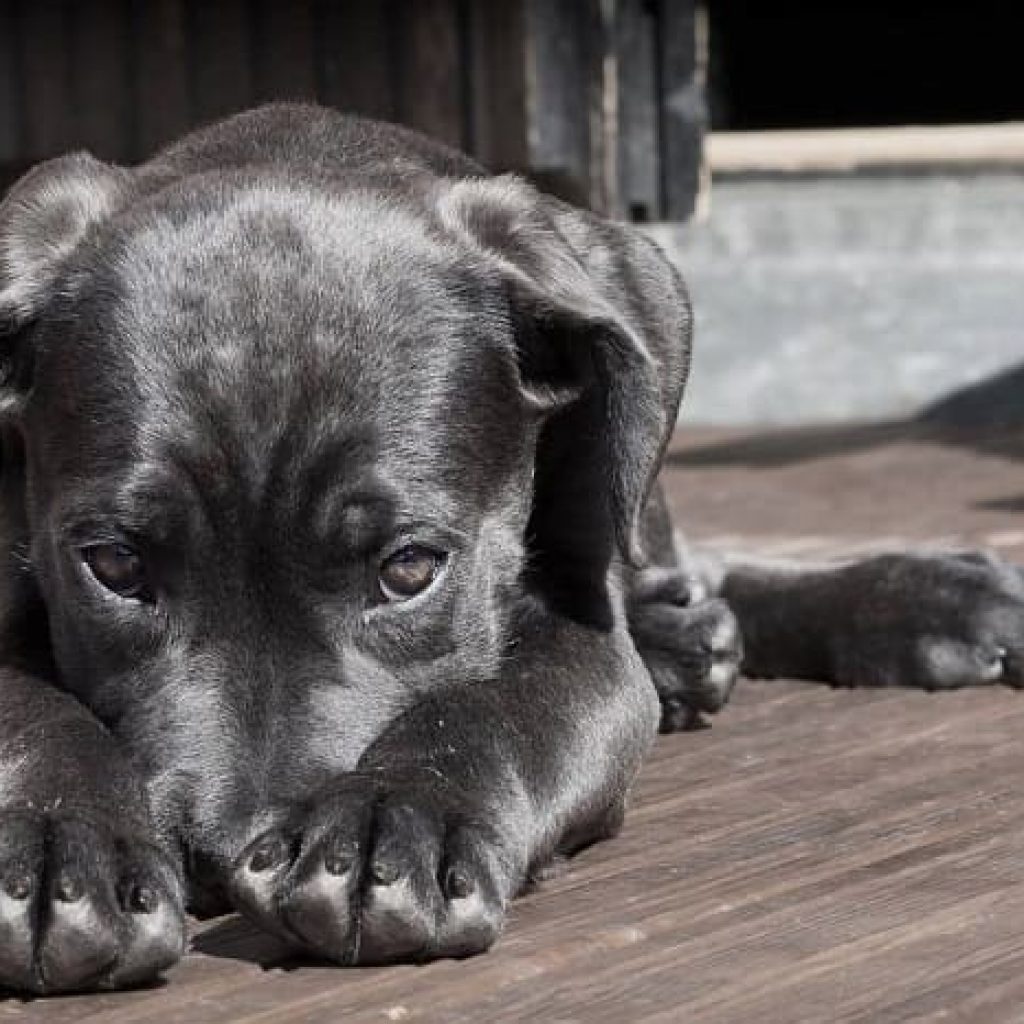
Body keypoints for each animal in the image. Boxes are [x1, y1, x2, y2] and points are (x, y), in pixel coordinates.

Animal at [0, 105, 1019, 991]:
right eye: (115, 566)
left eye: (409, 569)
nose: (221, 855)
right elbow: (28, 705)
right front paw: (60, 845)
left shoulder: (585, 636)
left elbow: (497, 707)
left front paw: (393, 820)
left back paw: (927, 597)